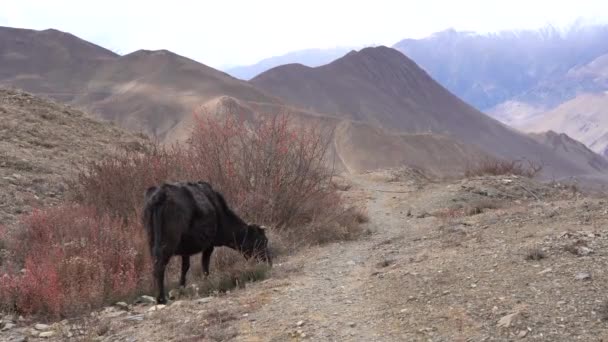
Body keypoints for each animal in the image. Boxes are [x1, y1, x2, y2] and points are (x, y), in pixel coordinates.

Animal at [142, 180, 270, 304]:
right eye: (262, 240)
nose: (269, 262)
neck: (219, 212)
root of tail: (160, 194)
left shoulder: (186, 248)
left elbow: (185, 267)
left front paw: (181, 288)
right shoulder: (209, 245)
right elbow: (204, 265)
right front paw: (207, 283)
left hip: (151, 240)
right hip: (168, 241)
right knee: (160, 265)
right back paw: (161, 298)